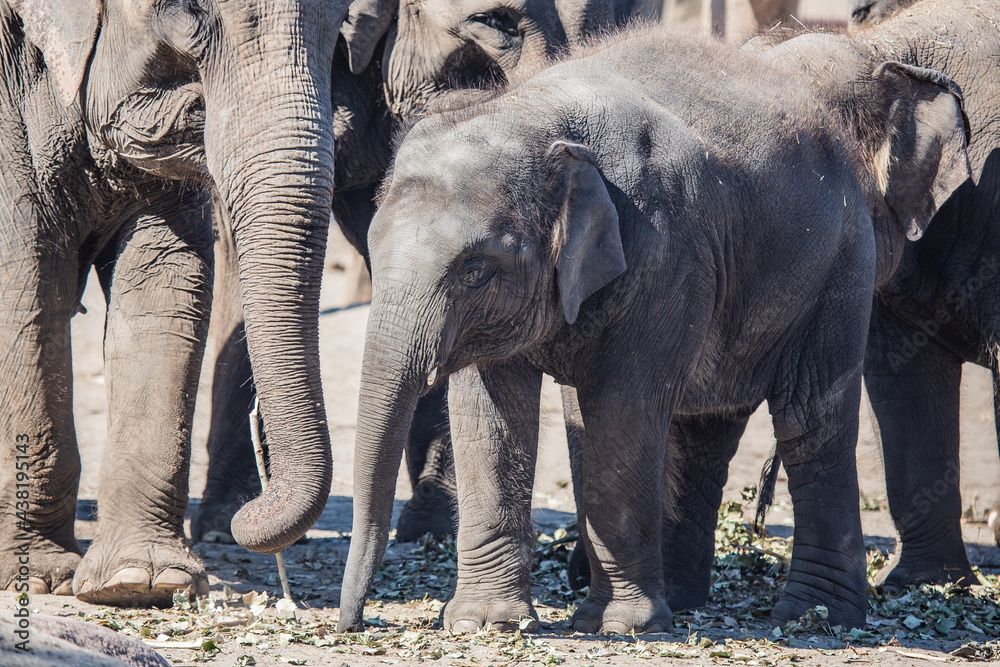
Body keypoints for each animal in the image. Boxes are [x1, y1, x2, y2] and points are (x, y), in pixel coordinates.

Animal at [0, 0, 352, 606]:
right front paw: (41, 578)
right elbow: (26, 280)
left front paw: (140, 581)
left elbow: (167, 280)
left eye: (341, 28)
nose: (242, 518)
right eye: (187, 12)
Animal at [335, 24, 969, 633]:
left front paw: (618, 628)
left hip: (838, 269)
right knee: (699, 426)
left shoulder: (666, 253)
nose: (354, 624)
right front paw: (484, 623)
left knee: (810, 418)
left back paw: (815, 618)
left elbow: (623, 407)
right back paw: (684, 601)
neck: (534, 117)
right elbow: (490, 415)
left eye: (473, 270)